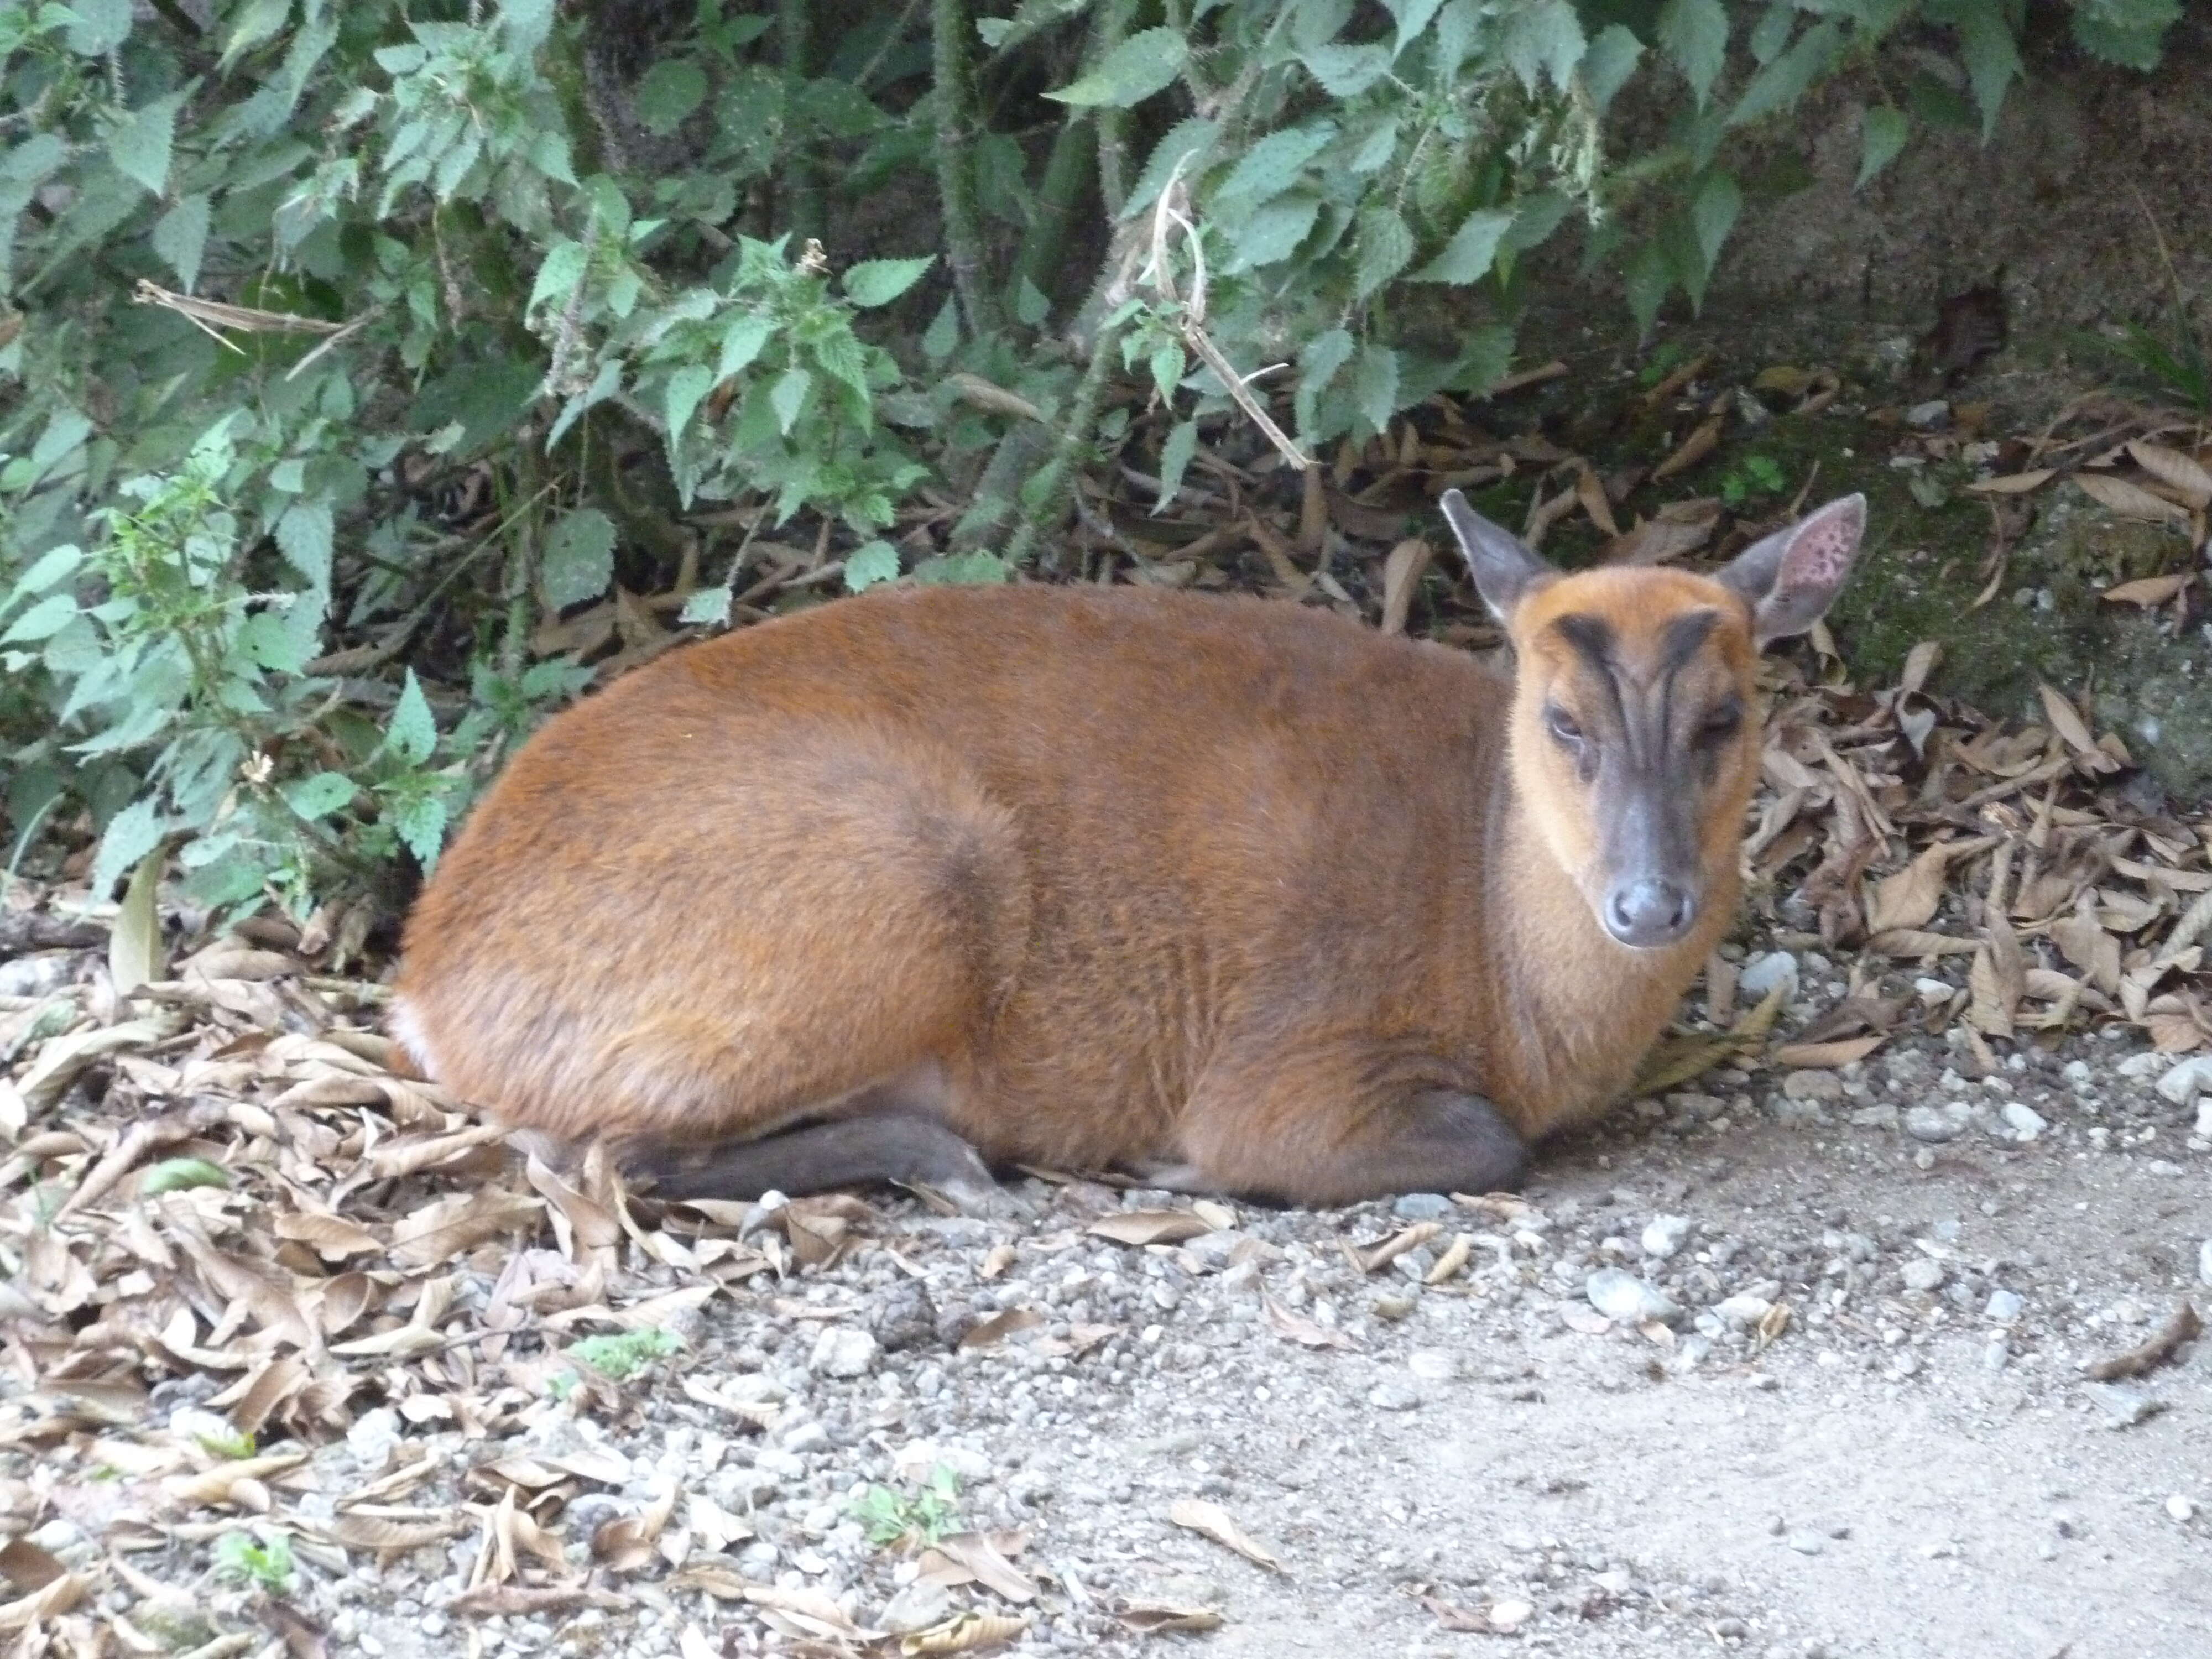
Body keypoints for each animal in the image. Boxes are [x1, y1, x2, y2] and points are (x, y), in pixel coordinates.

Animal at [394, 491, 1867, 1212]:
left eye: (1725, 717)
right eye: (1561, 720)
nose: (1648, 901)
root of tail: (423, 986)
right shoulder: (1293, 1055)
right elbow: (1478, 1143)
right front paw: (1185, 1169)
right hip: (893, 886)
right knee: (598, 1153)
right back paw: (951, 1159)